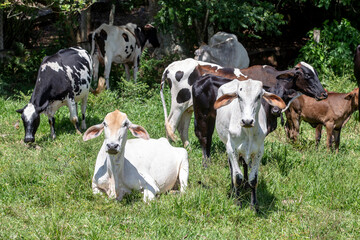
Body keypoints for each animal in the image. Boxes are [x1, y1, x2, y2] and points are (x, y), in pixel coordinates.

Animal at [215, 79, 286, 210]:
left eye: (258, 96)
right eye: (239, 96)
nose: (247, 121)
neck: (247, 131)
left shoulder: (258, 152)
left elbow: (253, 179)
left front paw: (254, 205)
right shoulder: (232, 149)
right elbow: (237, 177)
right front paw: (237, 202)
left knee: (245, 164)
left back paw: (245, 185)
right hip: (228, 146)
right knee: (232, 168)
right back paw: (233, 190)